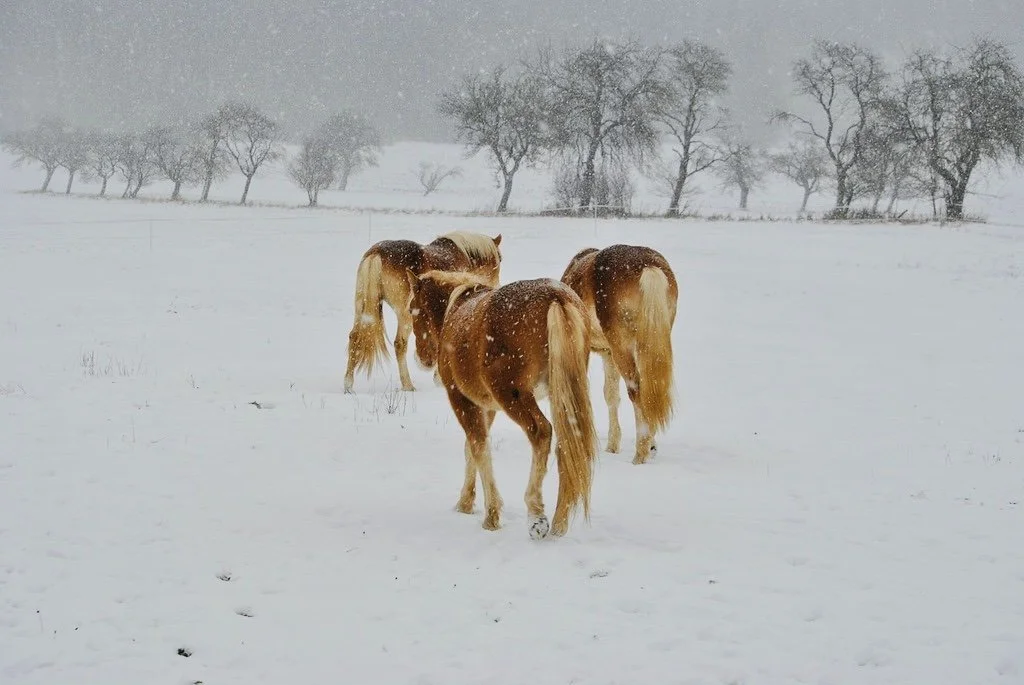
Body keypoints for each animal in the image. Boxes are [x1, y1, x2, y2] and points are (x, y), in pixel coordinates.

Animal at [343, 231, 502, 393]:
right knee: (400, 344)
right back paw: (408, 385)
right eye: (500, 259)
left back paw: (348, 385)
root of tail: (377, 254)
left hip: (362, 308)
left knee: (354, 337)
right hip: (404, 315)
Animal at [405, 269, 599, 539]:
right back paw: (559, 522)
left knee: (541, 433)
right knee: (568, 444)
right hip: (561, 395)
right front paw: (466, 502)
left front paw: (491, 515)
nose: (421, 359)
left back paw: (536, 515)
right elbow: (471, 448)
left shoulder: (462, 400)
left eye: (413, 309)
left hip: (514, 396)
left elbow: (478, 447)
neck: (457, 307)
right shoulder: (487, 407)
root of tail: (556, 297)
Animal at [560, 244, 678, 465]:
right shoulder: (608, 353)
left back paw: (640, 454)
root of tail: (648, 267)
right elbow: (611, 394)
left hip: (622, 346)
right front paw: (612, 445)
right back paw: (649, 446)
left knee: (636, 390)